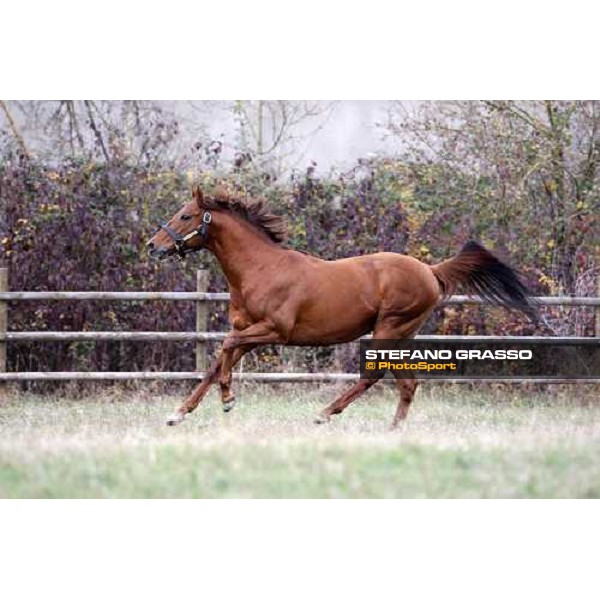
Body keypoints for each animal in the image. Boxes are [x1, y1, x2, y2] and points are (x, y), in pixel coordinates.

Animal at [148, 186, 536, 426]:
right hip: (401, 335)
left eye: (185, 216)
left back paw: (325, 413)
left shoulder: (274, 331)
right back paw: (393, 431)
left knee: (374, 375)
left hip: (389, 328)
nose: (152, 245)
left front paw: (228, 399)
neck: (260, 269)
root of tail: (430, 270)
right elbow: (217, 362)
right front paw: (179, 413)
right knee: (407, 384)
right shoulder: (248, 331)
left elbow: (225, 351)